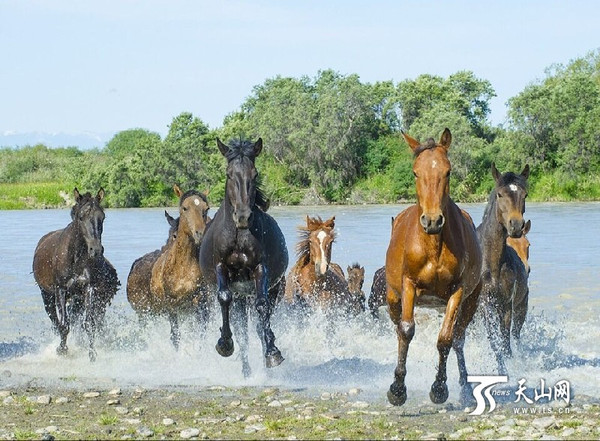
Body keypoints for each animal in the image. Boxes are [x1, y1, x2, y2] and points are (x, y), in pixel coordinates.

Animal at [32, 187, 119, 360]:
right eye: (81, 217)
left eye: (102, 217)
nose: (96, 250)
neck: (75, 257)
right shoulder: (61, 290)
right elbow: (63, 324)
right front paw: (62, 349)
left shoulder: (88, 288)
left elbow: (88, 323)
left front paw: (92, 354)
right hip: (46, 295)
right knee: (54, 321)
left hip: (76, 298)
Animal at [199, 137, 288, 374]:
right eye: (229, 173)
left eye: (254, 174)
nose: (243, 217)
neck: (238, 235)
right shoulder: (221, 267)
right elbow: (224, 297)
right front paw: (224, 344)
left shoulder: (260, 269)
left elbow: (262, 306)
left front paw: (273, 353)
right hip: (240, 296)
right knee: (244, 333)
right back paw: (246, 371)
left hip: (274, 289)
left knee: (261, 322)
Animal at [384, 128, 482, 406]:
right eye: (416, 172)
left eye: (447, 171)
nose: (432, 221)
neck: (434, 244)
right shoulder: (408, 285)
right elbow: (406, 331)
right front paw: (397, 389)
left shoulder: (458, 291)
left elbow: (446, 338)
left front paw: (439, 388)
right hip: (393, 297)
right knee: (398, 328)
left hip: (472, 301)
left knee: (459, 338)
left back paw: (465, 386)